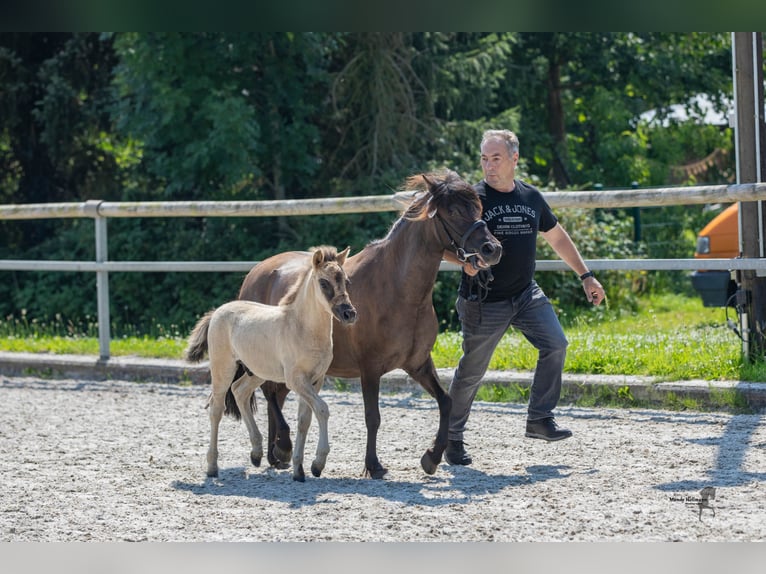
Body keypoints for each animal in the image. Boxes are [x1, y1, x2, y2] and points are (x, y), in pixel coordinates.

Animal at [186, 246, 356, 482]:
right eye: (324, 283)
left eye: (346, 281)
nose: (349, 313)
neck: (302, 328)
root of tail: (218, 312)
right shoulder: (296, 380)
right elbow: (322, 409)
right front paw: (317, 464)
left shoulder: (316, 380)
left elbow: (304, 420)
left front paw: (299, 470)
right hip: (223, 369)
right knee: (217, 408)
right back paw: (212, 467)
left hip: (257, 371)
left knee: (239, 391)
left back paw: (256, 453)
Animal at [238, 171, 504, 482]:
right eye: (453, 211)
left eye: (478, 208)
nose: (493, 249)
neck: (397, 288)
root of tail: (257, 272)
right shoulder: (370, 368)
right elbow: (372, 417)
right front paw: (373, 465)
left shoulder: (418, 364)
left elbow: (446, 401)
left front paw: (431, 457)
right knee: (270, 394)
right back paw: (281, 446)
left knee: (276, 396)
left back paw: (276, 455)